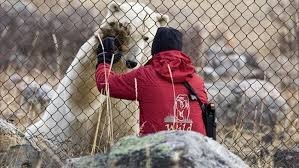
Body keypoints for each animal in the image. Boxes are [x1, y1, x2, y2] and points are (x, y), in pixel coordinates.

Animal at [25, 1, 169, 156]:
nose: (132, 62)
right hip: (51, 130)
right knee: (37, 134)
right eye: (128, 32)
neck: (122, 67)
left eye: (146, 37)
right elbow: (80, 98)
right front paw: (110, 33)